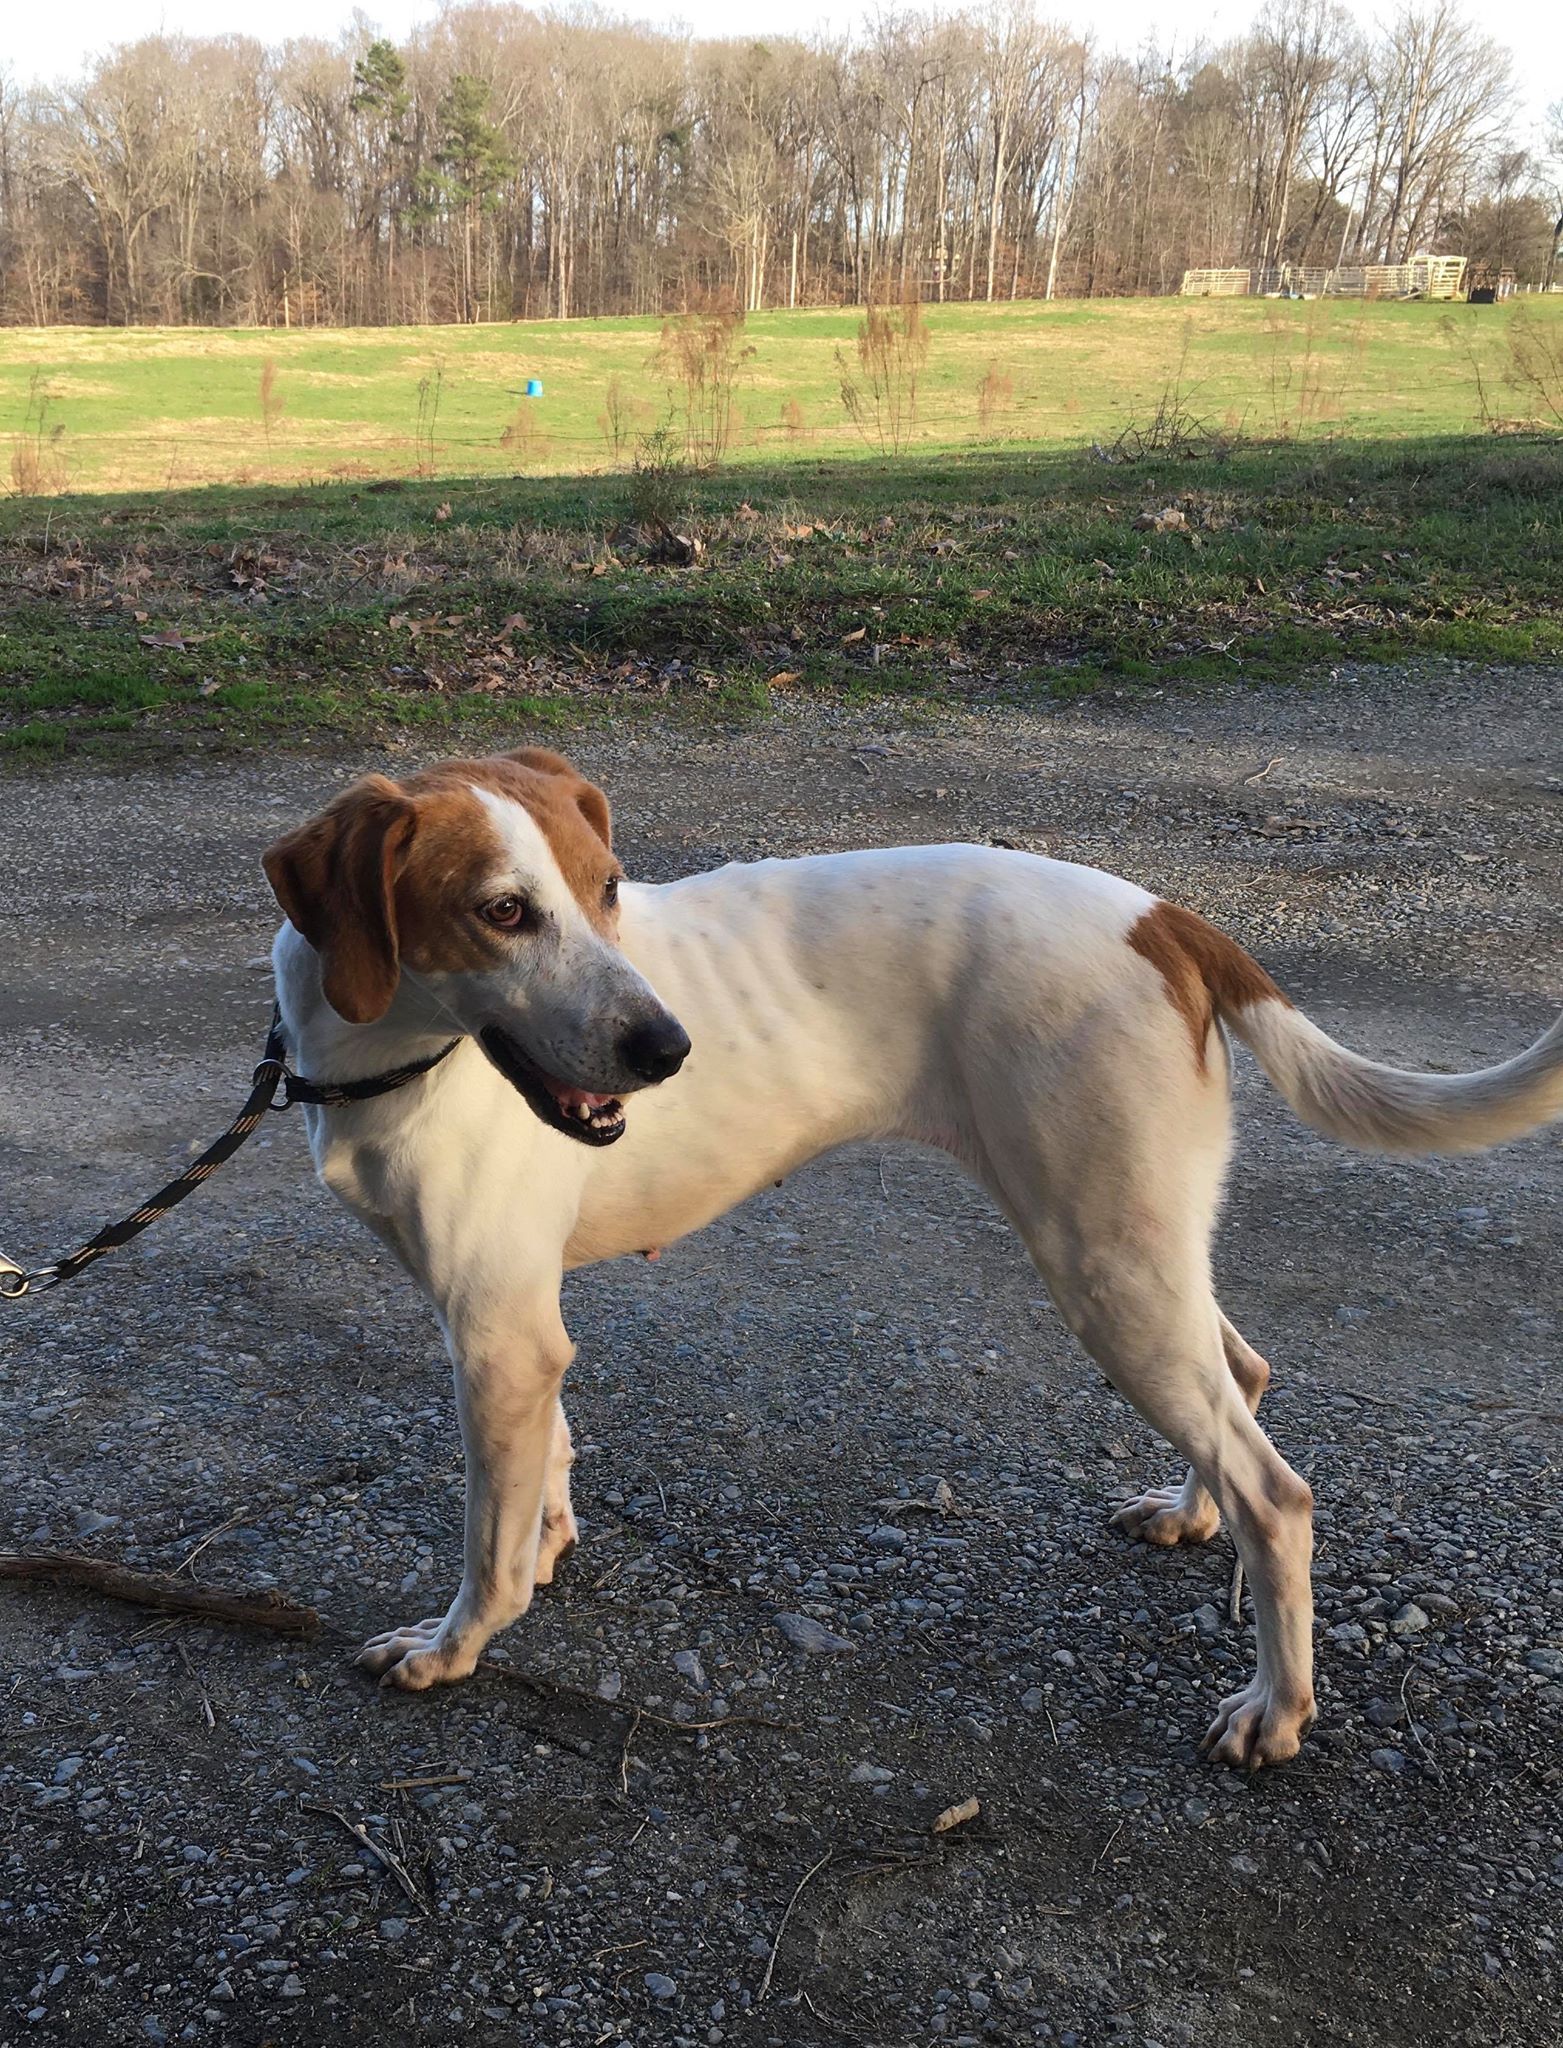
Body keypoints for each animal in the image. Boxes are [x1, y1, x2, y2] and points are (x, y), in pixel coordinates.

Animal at [262, 745, 1556, 1769]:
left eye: (608, 889)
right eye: (501, 910)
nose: (671, 1045)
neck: (389, 1053)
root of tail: (1160, 912)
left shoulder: (499, 1337)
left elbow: (484, 1545)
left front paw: (455, 1646)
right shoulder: (521, 1329)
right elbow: (550, 1468)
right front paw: (547, 1544)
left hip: (1106, 1271)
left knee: (1276, 1493)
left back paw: (1276, 1708)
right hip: (1145, 1254)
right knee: (1241, 1380)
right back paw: (1195, 1516)